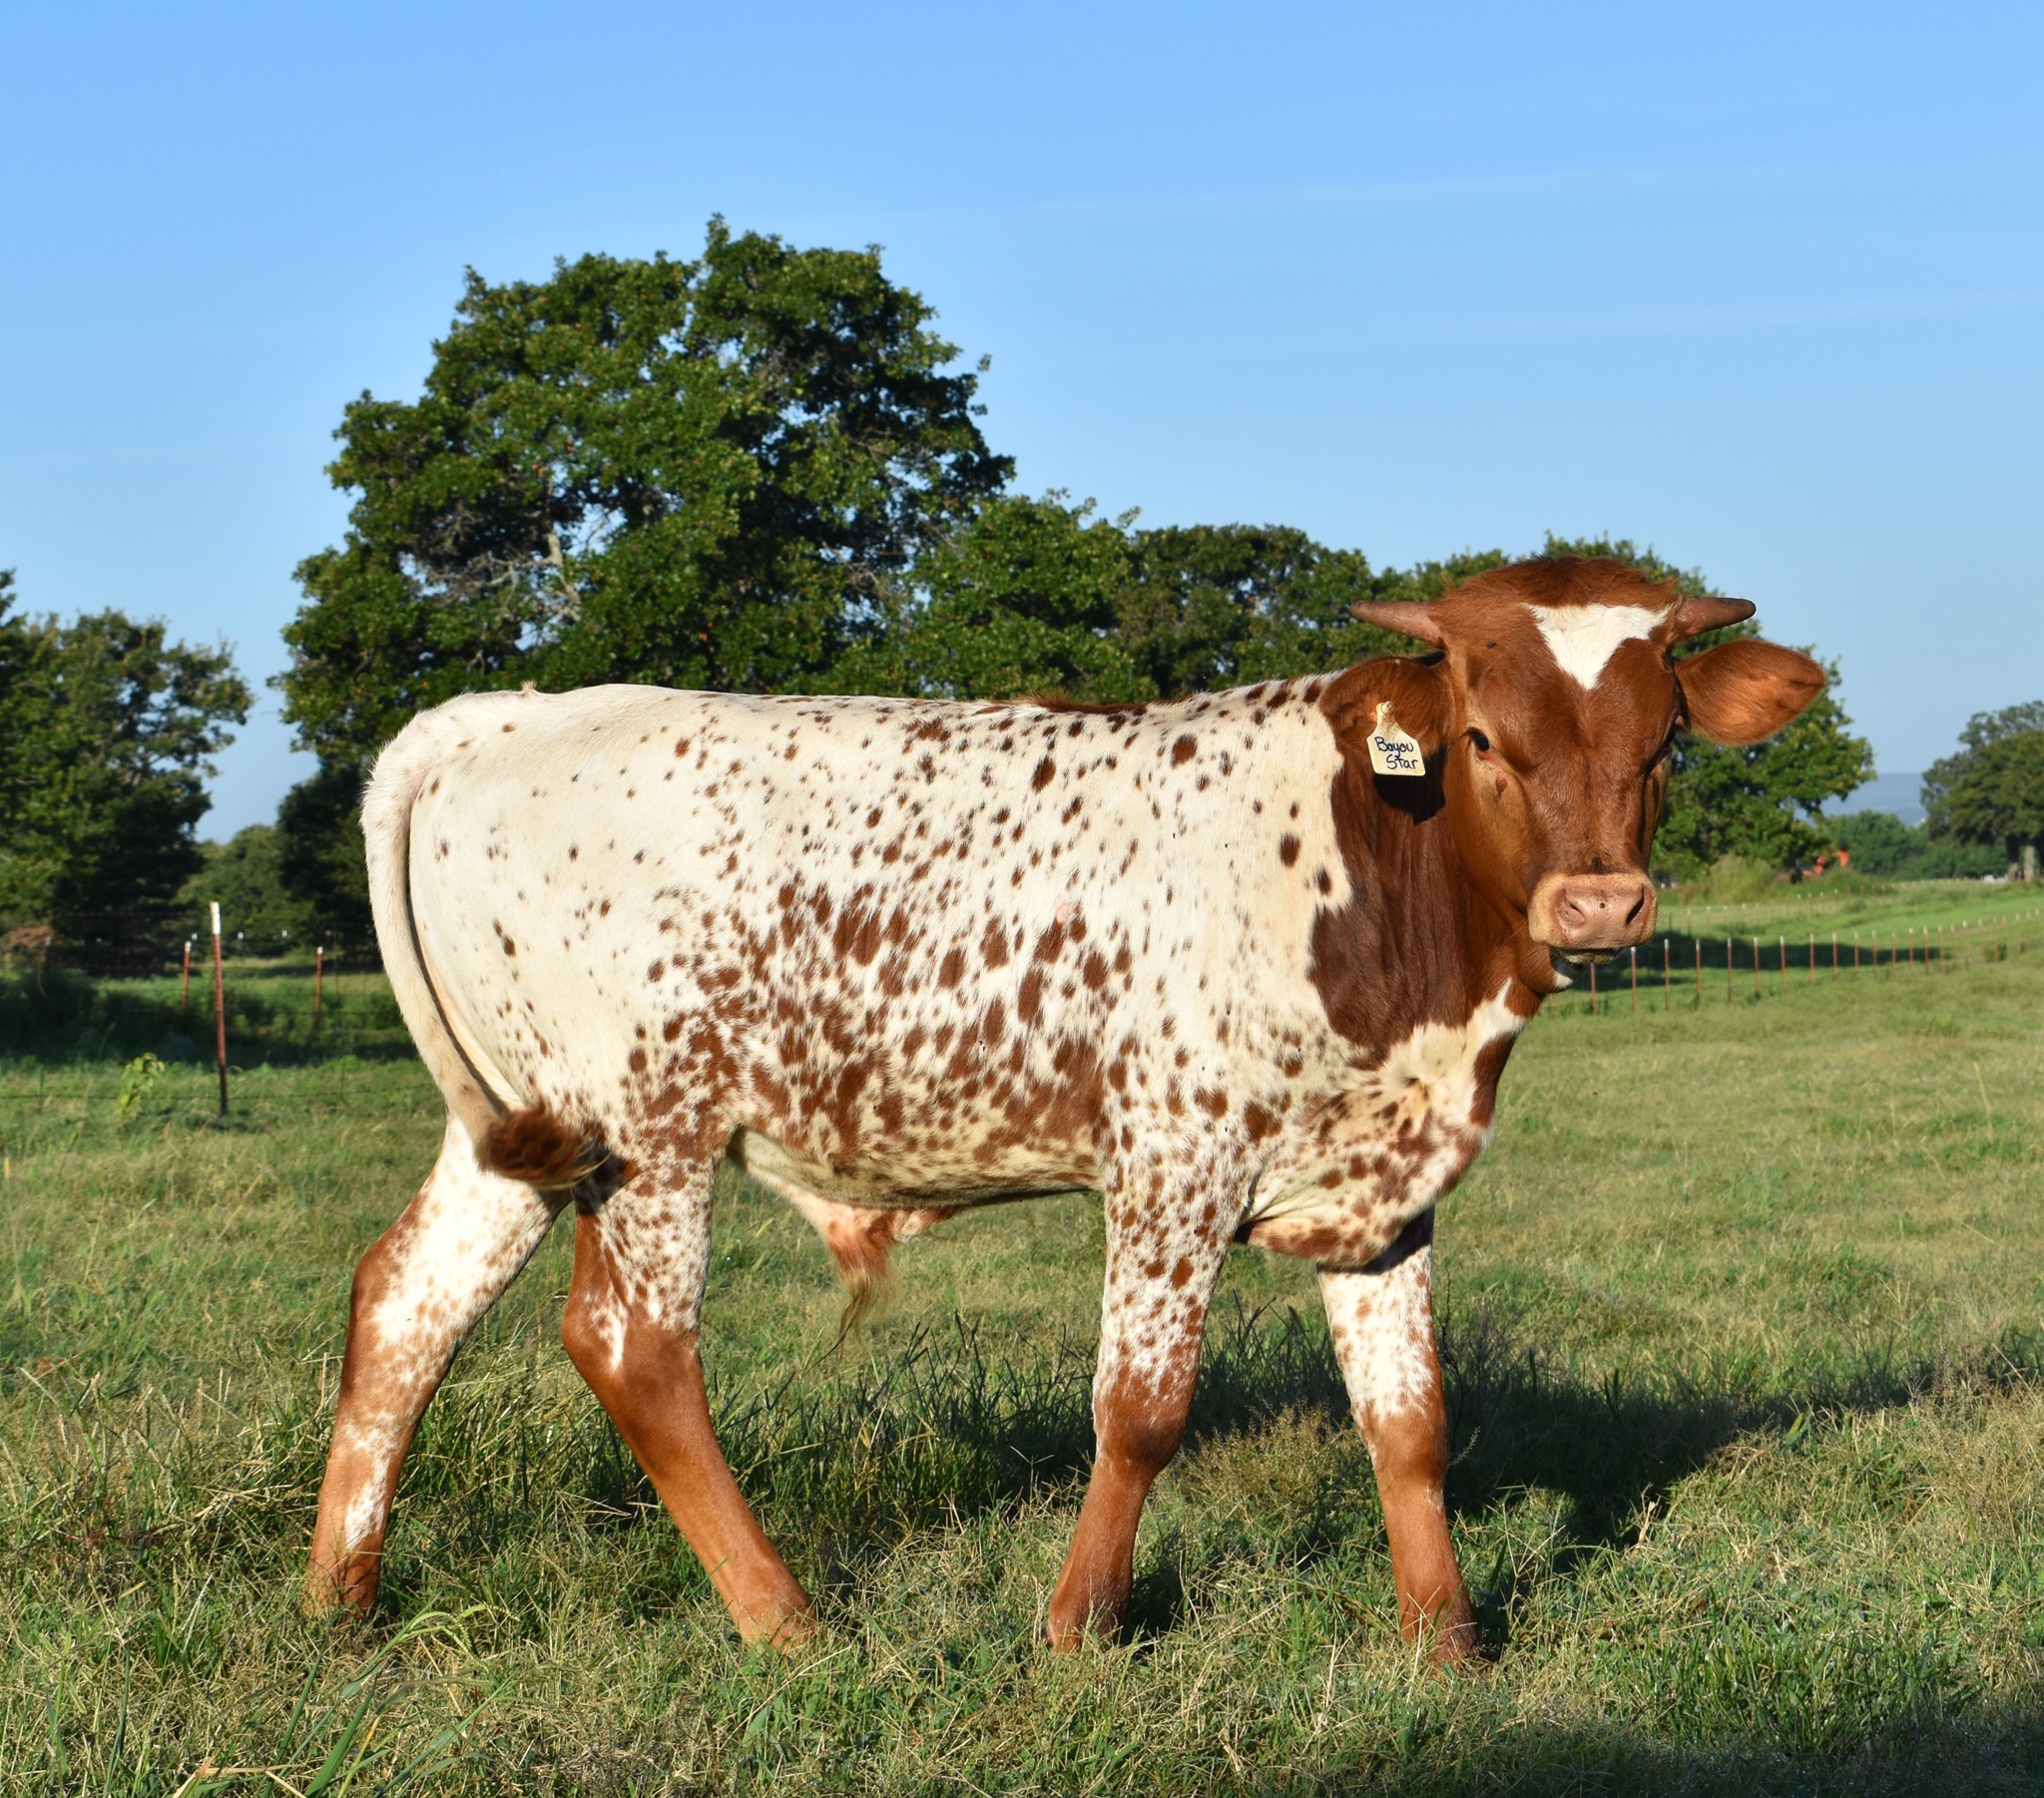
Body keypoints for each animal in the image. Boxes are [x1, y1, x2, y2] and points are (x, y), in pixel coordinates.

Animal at [305, 556, 1823, 1660]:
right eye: (1488, 737)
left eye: (1665, 744)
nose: (1601, 905)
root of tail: (503, 712)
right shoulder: (1172, 1163)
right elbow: (1141, 1409)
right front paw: (1078, 1626)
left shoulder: (1385, 1183)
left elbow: (1409, 1419)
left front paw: (1444, 1640)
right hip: (651, 1123)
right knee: (632, 1348)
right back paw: (785, 1619)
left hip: (522, 1124)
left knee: (406, 1299)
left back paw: (341, 1596)